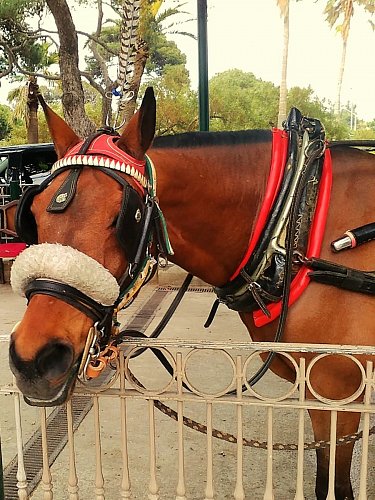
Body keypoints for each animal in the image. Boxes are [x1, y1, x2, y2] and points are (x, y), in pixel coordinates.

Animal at [7, 88, 374, 498]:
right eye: (35, 215)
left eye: (125, 218)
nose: (33, 359)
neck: (295, 224)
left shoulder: (338, 389)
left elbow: (334, 482)